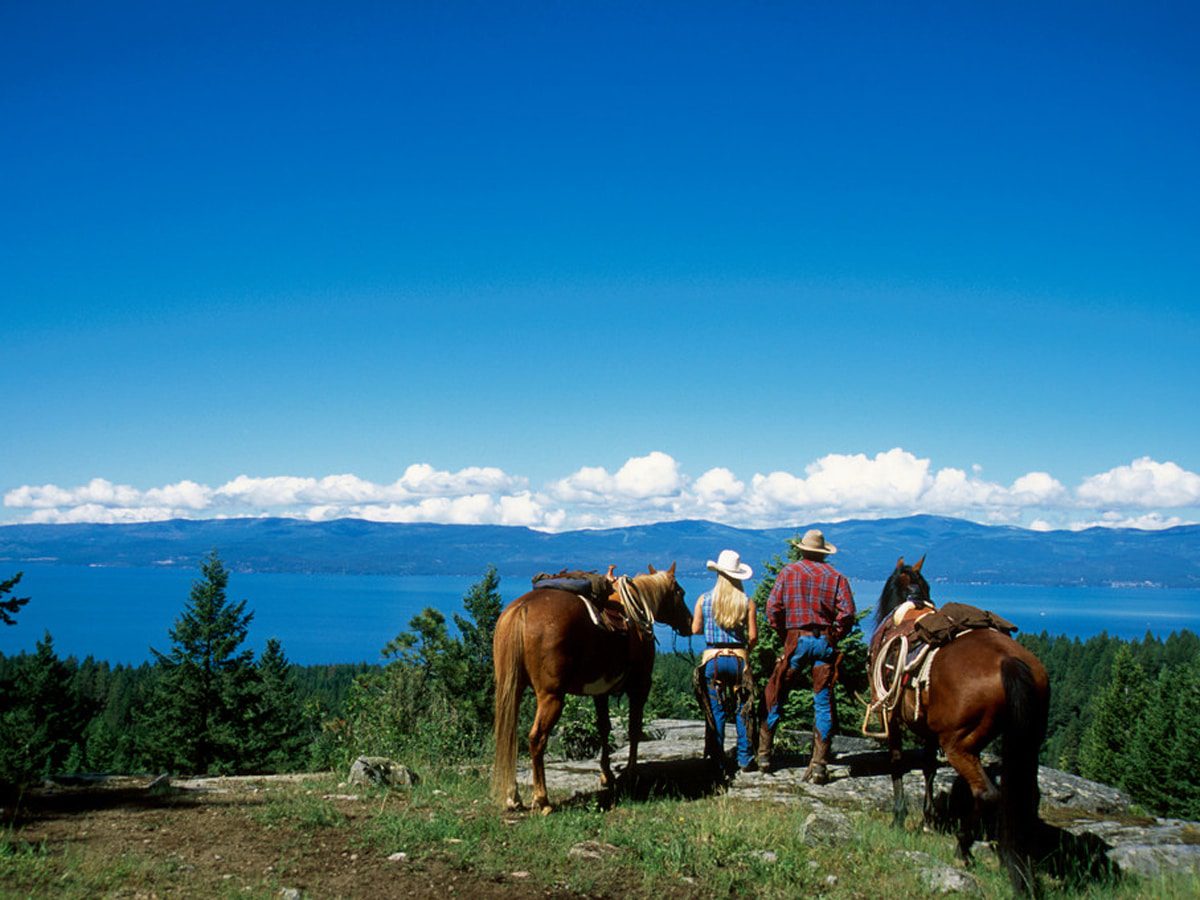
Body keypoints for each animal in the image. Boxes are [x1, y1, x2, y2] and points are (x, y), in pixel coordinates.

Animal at [489, 566, 696, 816]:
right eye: (680, 592)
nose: (690, 623)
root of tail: (521, 609)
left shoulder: (601, 692)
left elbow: (604, 729)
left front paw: (607, 775)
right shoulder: (639, 687)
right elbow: (634, 729)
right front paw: (631, 773)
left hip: (511, 690)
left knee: (509, 736)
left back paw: (513, 797)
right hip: (552, 697)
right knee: (536, 738)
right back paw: (542, 799)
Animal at [873, 556, 1051, 897]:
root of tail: (1010, 661)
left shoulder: (890, 714)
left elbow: (897, 762)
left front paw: (899, 818)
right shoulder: (928, 728)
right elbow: (928, 768)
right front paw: (928, 819)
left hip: (959, 745)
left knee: (986, 794)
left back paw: (963, 849)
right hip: (1028, 741)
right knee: (1025, 795)